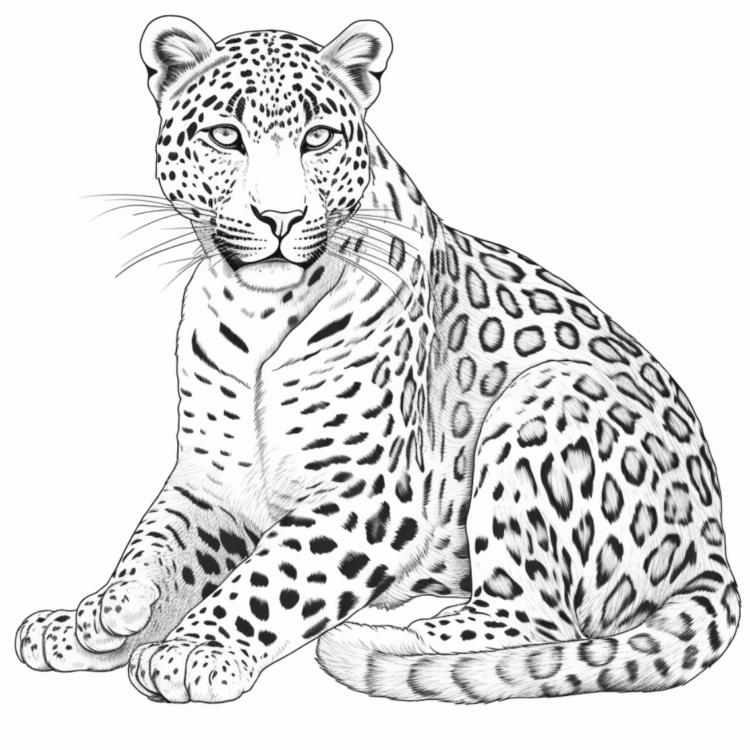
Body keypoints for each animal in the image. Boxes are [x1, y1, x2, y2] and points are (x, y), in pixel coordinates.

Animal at [15, 15, 740, 704]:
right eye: (226, 136)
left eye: (317, 139)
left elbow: (269, 581)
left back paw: (401, 632)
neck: (257, 311)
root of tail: (714, 544)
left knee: (539, 618)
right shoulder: (211, 481)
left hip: (549, 396)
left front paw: (196, 650)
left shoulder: (369, 491)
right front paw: (97, 616)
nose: (280, 217)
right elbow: (155, 547)